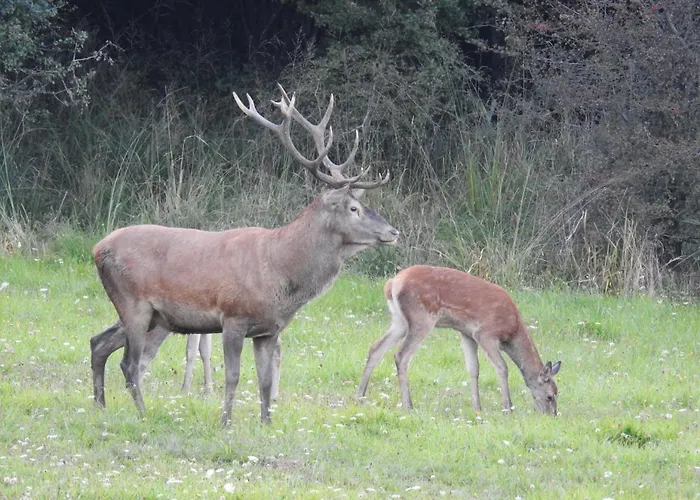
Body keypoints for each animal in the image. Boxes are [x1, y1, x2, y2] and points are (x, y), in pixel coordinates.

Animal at [89, 84, 400, 425]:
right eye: (354, 208)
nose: (393, 232)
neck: (279, 271)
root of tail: (97, 249)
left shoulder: (268, 330)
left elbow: (264, 380)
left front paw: (266, 423)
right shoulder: (233, 316)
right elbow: (234, 376)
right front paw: (225, 422)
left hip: (152, 315)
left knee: (99, 343)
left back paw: (100, 405)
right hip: (134, 302)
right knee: (129, 363)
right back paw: (142, 413)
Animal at [357, 265, 562, 415]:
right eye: (550, 396)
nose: (551, 415)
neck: (512, 332)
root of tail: (391, 284)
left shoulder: (467, 333)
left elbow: (473, 369)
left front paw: (477, 407)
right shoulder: (485, 333)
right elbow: (502, 368)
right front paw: (508, 407)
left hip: (399, 321)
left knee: (376, 347)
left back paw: (359, 396)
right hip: (421, 317)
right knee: (401, 355)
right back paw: (408, 405)